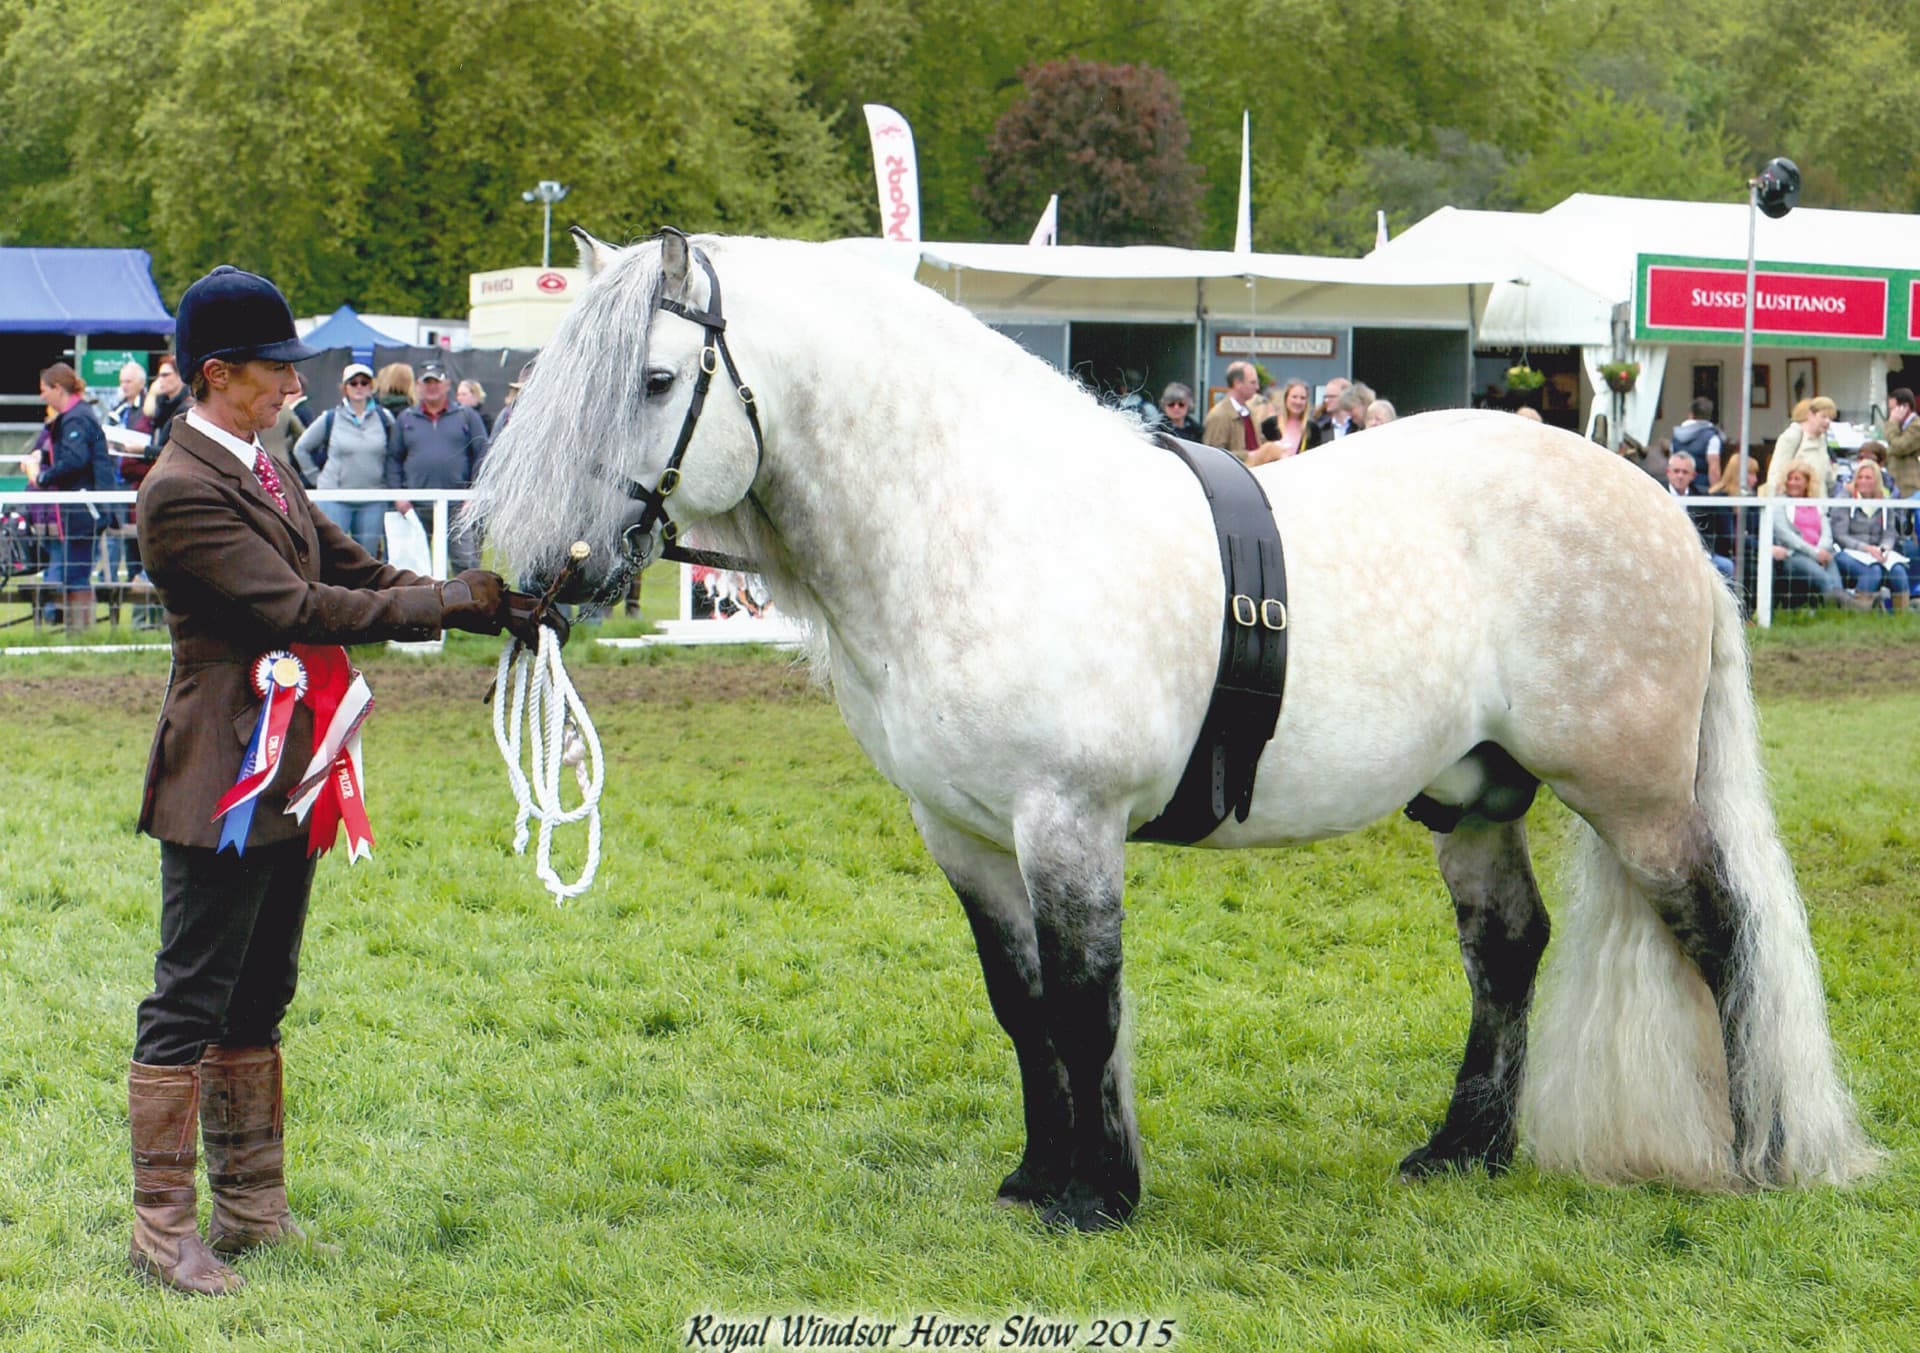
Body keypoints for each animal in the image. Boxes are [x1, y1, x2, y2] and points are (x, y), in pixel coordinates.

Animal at [469, 228, 1879, 1230]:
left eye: (656, 379)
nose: (548, 574)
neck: (979, 522)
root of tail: (1663, 513)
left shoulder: (1068, 823)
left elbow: (1086, 1003)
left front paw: (1101, 1196)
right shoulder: (965, 835)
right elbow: (1022, 1005)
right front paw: (1037, 1177)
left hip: (1633, 796)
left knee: (1721, 932)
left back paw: (1756, 1151)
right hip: (1473, 797)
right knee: (1509, 952)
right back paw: (1462, 1150)